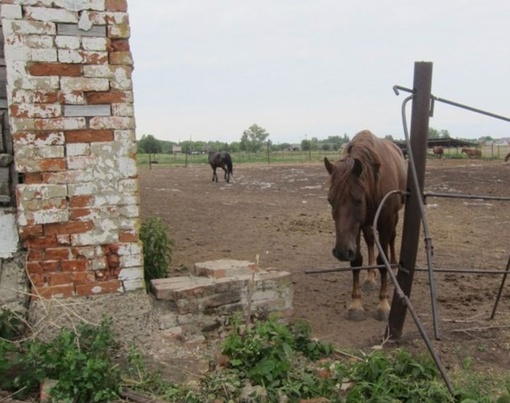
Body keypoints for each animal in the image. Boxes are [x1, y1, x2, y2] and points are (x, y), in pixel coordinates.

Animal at [324, 130, 408, 322]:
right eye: (330, 200)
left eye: (357, 200)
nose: (341, 251)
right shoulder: (356, 228)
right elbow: (356, 260)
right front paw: (356, 304)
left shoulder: (386, 221)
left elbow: (382, 260)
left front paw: (383, 305)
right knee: (370, 241)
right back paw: (370, 278)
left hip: (394, 218)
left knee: (392, 239)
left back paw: (393, 268)